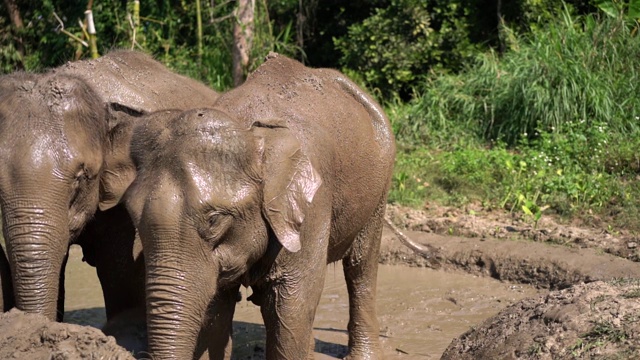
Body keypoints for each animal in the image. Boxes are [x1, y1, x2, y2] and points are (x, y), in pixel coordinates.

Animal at [122, 52, 396, 358]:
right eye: (132, 215)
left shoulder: (313, 205)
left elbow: (293, 308)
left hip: (381, 182)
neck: (247, 127)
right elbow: (216, 308)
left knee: (361, 265)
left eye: (214, 220)